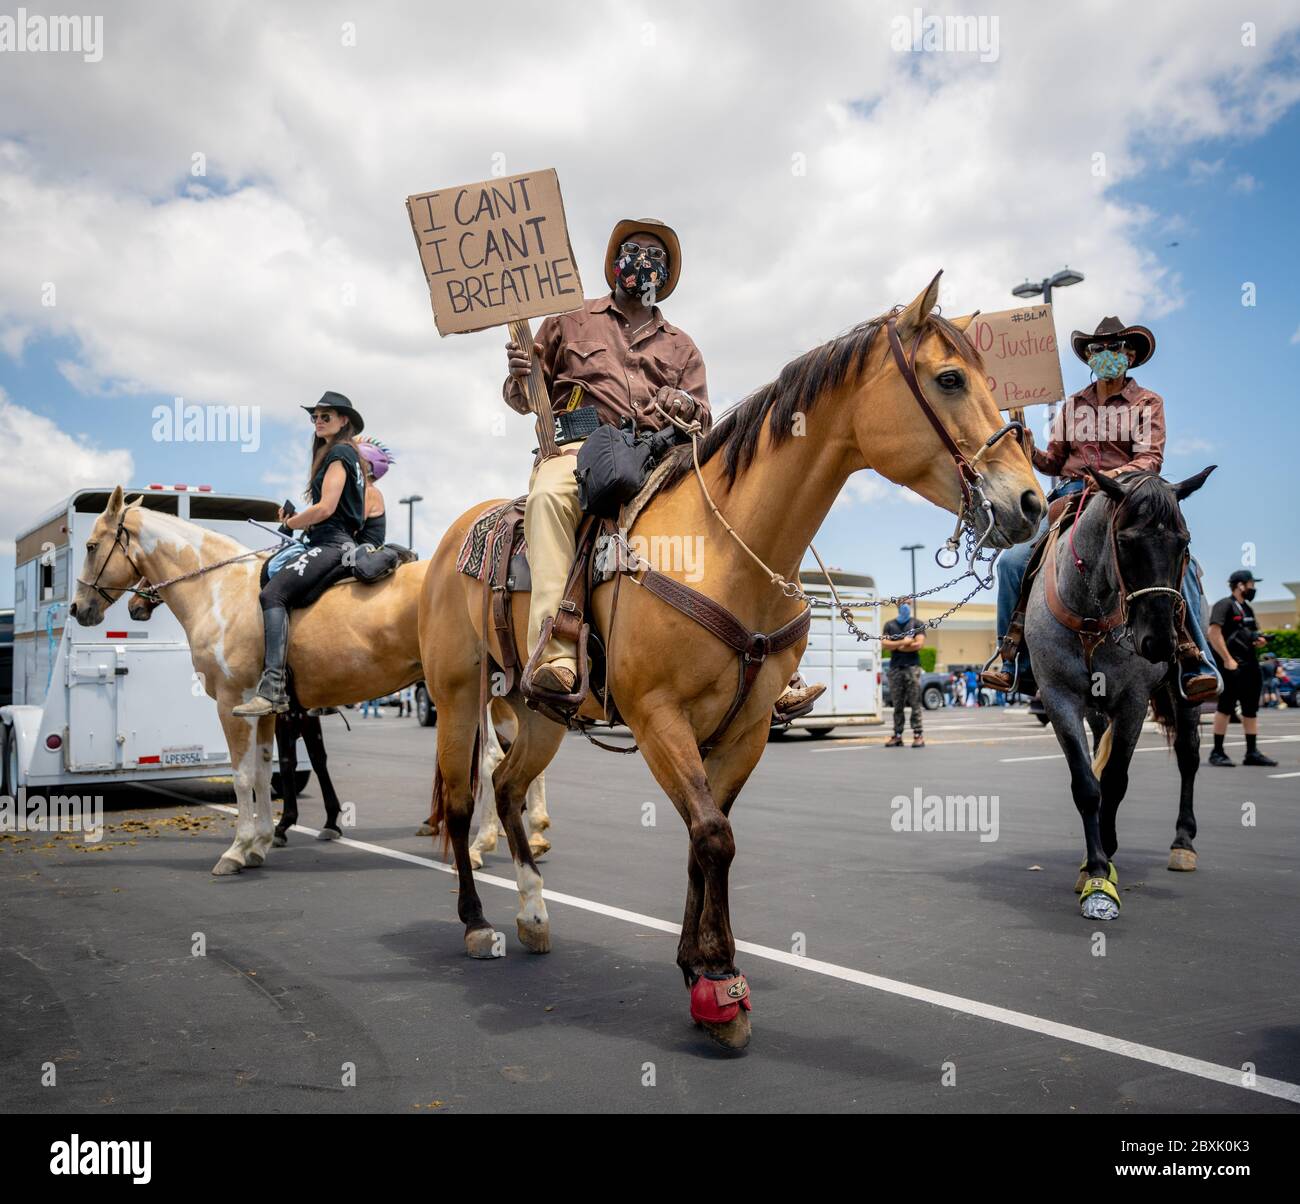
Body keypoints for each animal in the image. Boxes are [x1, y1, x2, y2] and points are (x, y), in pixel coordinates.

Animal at [416, 278, 1045, 1050]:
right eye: (950, 379)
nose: (1030, 502)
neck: (723, 546)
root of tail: (456, 537)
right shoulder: (658, 717)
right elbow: (713, 835)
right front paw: (719, 986)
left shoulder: (744, 729)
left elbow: (705, 836)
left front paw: (702, 970)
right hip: (457, 697)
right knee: (460, 799)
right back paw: (477, 923)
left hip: (540, 713)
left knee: (506, 787)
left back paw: (533, 914)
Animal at [1024, 465, 1216, 920]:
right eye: (1126, 543)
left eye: (1183, 542)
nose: (1160, 642)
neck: (1091, 614)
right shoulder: (1059, 697)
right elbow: (1087, 784)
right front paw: (1094, 866)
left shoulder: (1133, 701)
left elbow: (1115, 781)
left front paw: (1105, 859)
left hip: (1183, 694)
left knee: (1188, 755)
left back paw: (1183, 842)